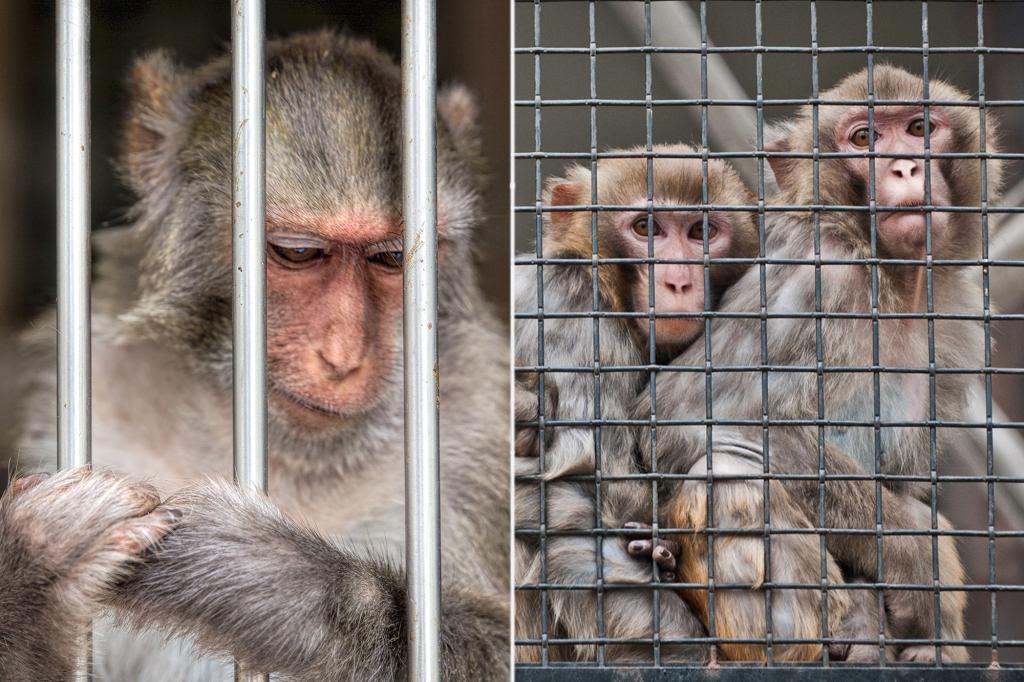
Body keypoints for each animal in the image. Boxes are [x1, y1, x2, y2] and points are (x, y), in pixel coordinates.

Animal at [0, 31, 508, 681]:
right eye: (297, 253)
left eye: (393, 258)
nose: (342, 356)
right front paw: (35, 572)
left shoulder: (483, 425)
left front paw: (261, 575)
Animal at [625, 65, 1003, 664]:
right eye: (864, 139)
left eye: (920, 129)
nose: (904, 165)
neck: (889, 280)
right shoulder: (819, 279)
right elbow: (687, 418)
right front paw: (922, 560)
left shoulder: (954, 321)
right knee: (725, 470)